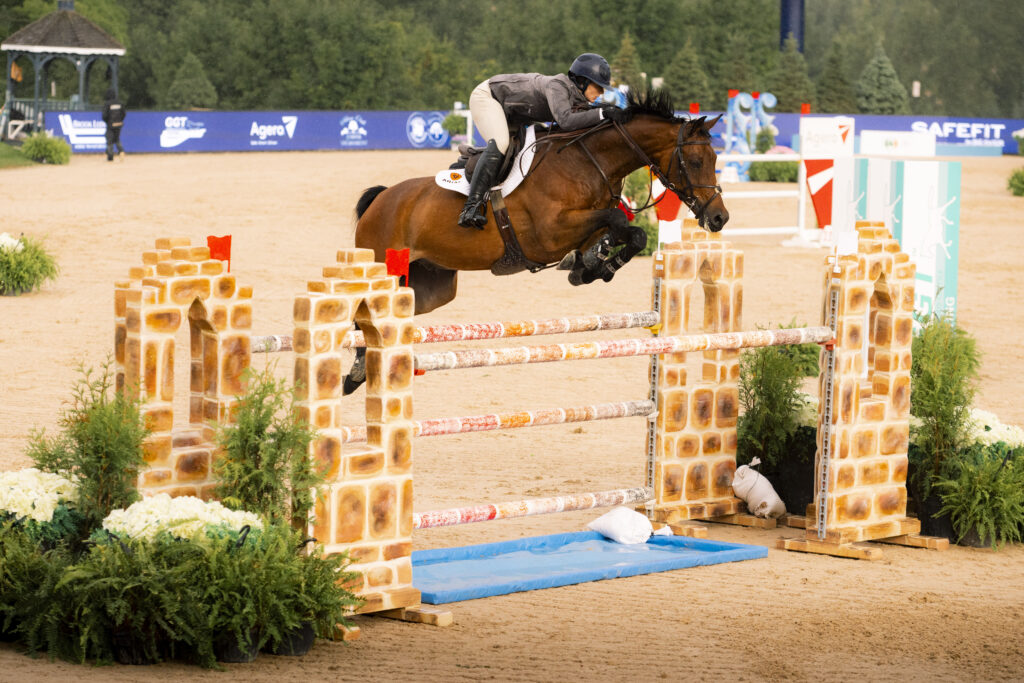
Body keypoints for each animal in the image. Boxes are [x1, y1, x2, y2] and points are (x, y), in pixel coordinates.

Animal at [344, 89, 729, 393]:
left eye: (715, 159)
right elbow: (619, 220)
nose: (719, 218)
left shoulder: (584, 225)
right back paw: (355, 373)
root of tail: (380, 199)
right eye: (696, 160)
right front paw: (592, 263)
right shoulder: (550, 232)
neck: (589, 161)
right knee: (362, 318)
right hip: (385, 267)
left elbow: (630, 232)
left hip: (431, 285)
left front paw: (592, 265)